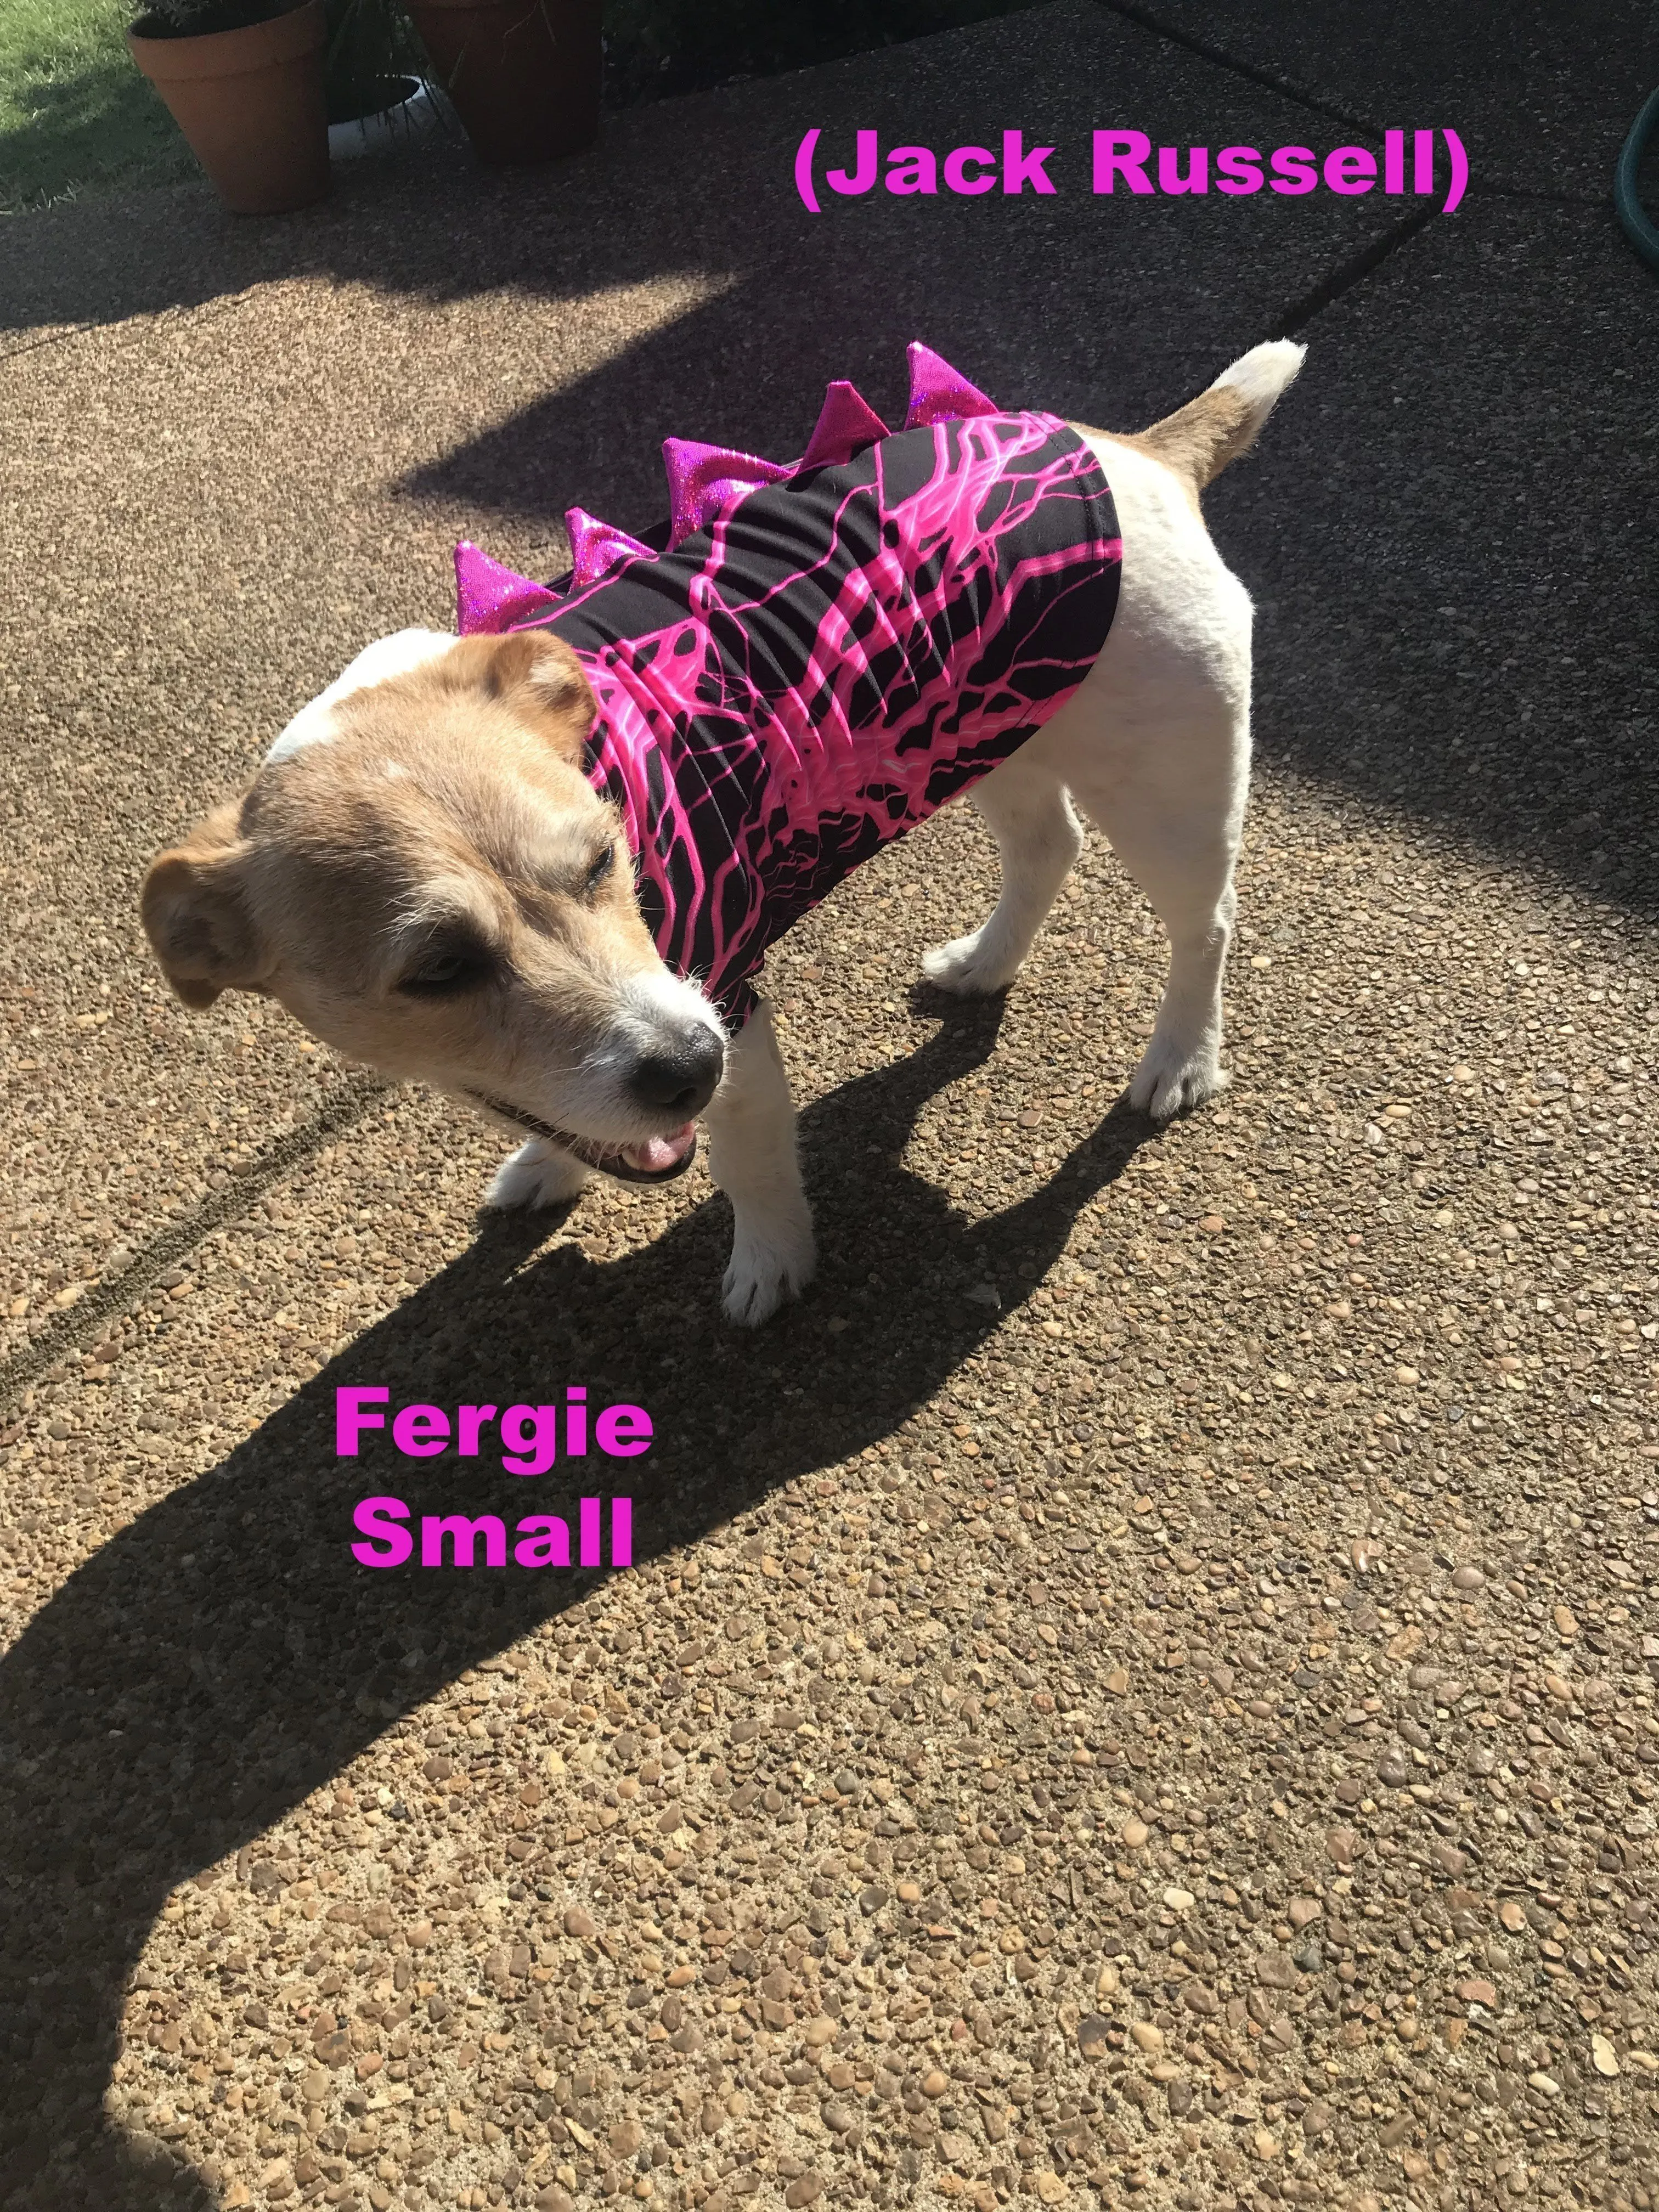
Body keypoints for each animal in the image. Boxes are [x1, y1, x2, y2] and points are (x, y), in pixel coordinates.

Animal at [143, 336, 1309, 1318]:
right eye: (435, 970)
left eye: (604, 861)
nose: (688, 1067)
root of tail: (1134, 452)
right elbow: (576, 1117)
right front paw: (553, 1165)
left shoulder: (725, 998)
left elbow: (749, 1160)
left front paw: (769, 1262)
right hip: (986, 730)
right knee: (1046, 848)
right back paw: (983, 964)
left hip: (1165, 794)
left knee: (1203, 924)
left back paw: (1179, 1057)